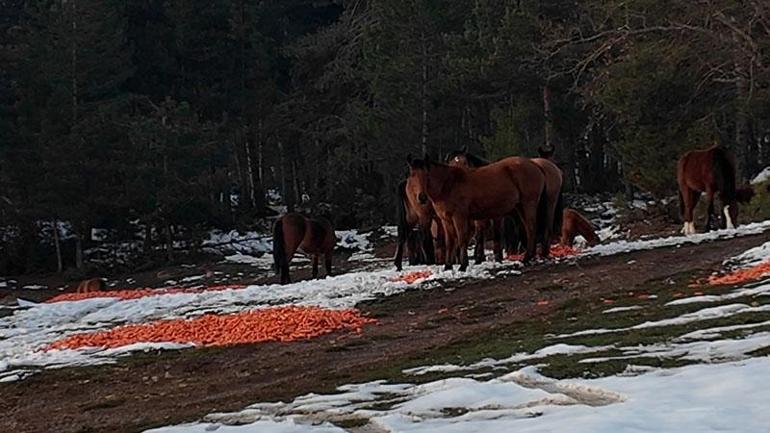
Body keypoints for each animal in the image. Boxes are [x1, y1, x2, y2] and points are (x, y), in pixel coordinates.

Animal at [404, 154, 548, 268]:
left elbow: (461, 239)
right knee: (529, 229)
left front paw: (463, 265)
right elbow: (450, 241)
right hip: (520, 207)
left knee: (531, 228)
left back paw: (527, 258)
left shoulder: (459, 217)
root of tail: (535, 165)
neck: (448, 185)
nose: (421, 197)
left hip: (528, 204)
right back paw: (529, 257)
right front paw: (448, 266)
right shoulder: (446, 219)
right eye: (412, 174)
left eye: (426, 174)